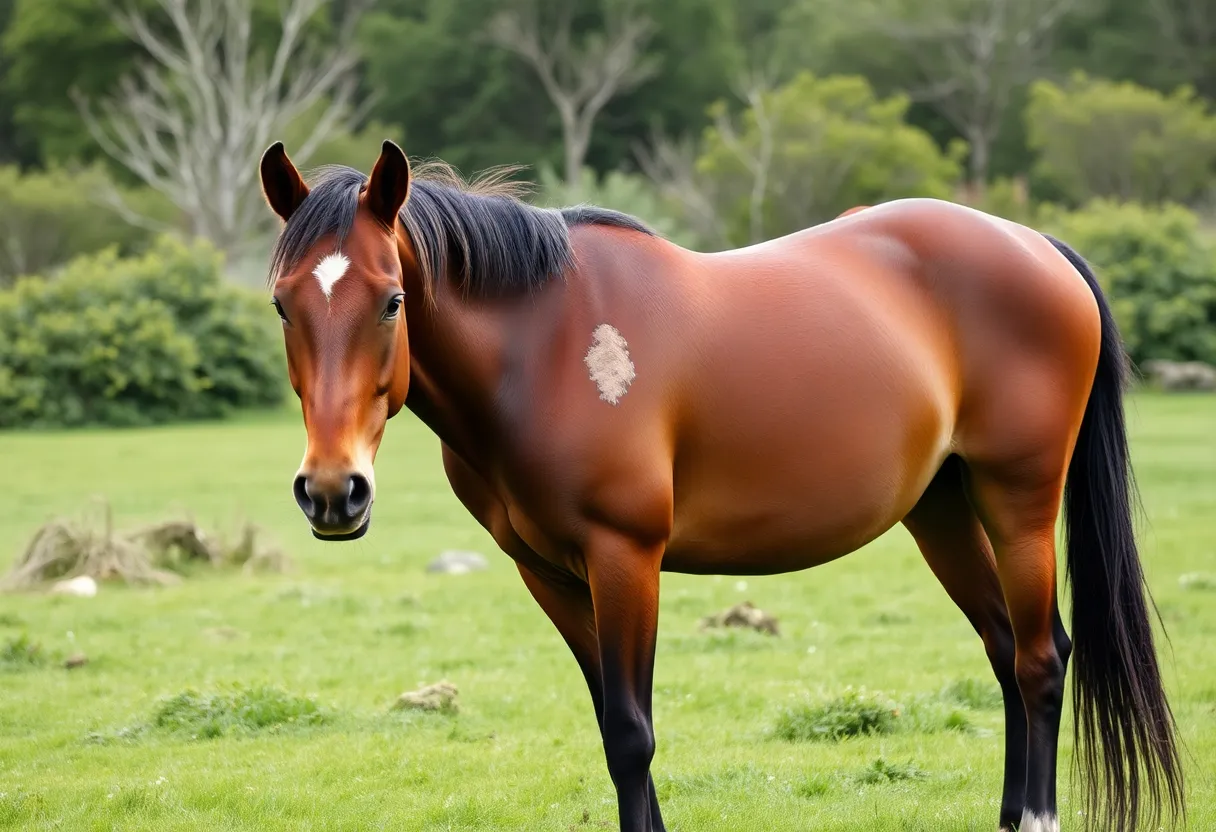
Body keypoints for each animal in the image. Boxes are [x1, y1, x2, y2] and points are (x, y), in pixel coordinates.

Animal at [257, 139, 1183, 832]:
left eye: (391, 300)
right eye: (281, 305)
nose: (334, 492)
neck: (543, 346)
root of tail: (1038, 247)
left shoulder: (625, 558)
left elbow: (632, 735)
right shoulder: (549, 573)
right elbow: (611, 725)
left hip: (1017, 500)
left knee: (1040, 659)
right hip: (943, 511)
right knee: (1002, 652)